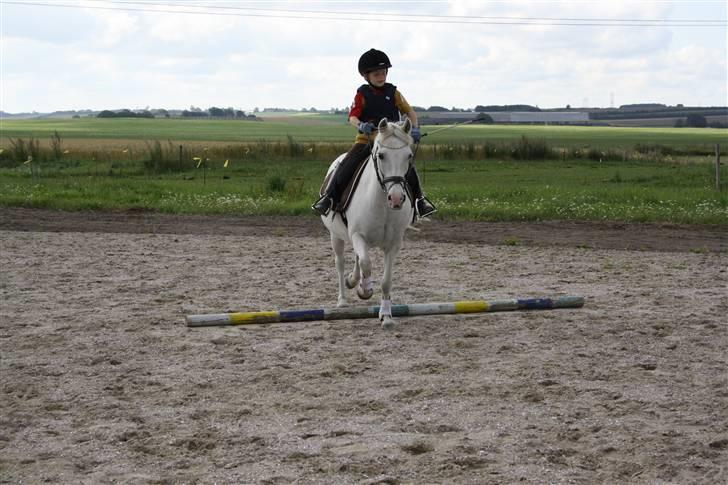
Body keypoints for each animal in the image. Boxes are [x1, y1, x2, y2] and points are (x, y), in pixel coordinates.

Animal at [320, 117, 416, 328]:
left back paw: (353, 280)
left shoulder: (393, 244)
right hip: (336, 236)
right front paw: (364, 290)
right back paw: (343, 299)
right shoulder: (358, 235)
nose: (396, 199)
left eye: (409, 156)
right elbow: (366, 263)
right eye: (381, 155)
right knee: (341, 262)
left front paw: (386, 316)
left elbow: (386, 280)